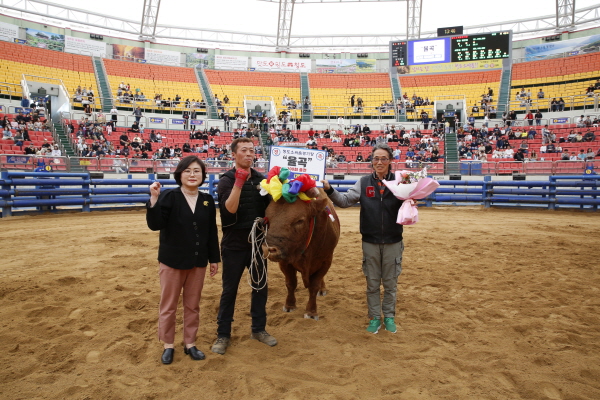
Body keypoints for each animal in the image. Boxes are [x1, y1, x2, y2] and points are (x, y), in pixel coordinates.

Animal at [264, 188, 342, 322]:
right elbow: (290, 283)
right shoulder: (284, 262)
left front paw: (311, 312)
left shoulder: (326, 261)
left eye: (300, 220)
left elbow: (314, 285)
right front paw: (289, 305)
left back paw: (322, 289)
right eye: (267, 217)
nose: (270, 249)